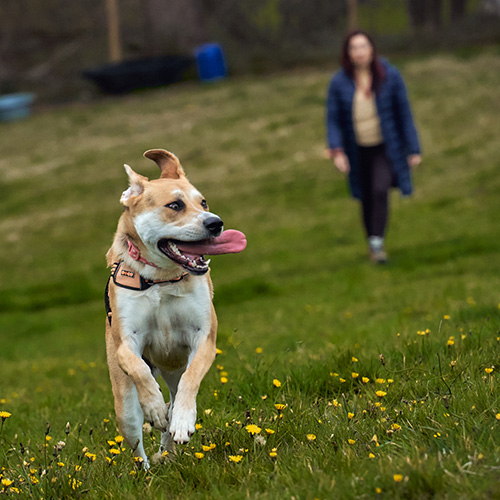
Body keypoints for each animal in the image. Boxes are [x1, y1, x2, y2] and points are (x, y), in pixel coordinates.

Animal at [105, 147, 246, 464]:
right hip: (124, 404)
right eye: (175, 205)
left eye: (203, 202)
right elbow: (138, 367)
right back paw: (147, 466)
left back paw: (169, 442)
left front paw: (182, 421)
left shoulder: (203, 337)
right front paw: (155, 408)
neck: (162, 281)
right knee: (136, 444)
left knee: (176, 395)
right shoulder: (125, 343)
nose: (215, 223)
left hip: (174, 371)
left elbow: (191, 381)